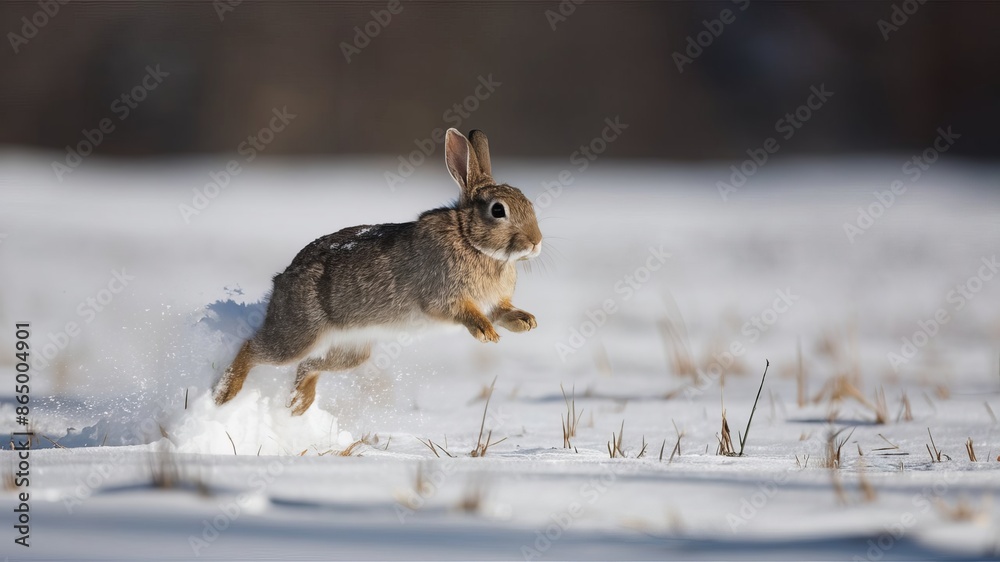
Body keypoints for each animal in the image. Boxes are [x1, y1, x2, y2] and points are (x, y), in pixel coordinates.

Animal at [212, 128, 543, 415]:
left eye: (528, 203)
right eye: (498, 210)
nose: (536, 242)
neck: (470, 239)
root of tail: (281, 282)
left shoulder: (494, 301)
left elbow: (502, 310)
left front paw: (526, 321)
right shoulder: (443, 298)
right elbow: (466, 312)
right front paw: (486, 332)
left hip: (351, 352)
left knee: (308, 366)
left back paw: (298, 406)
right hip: (297, 334)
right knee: (254, 348)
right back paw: (225, 394)